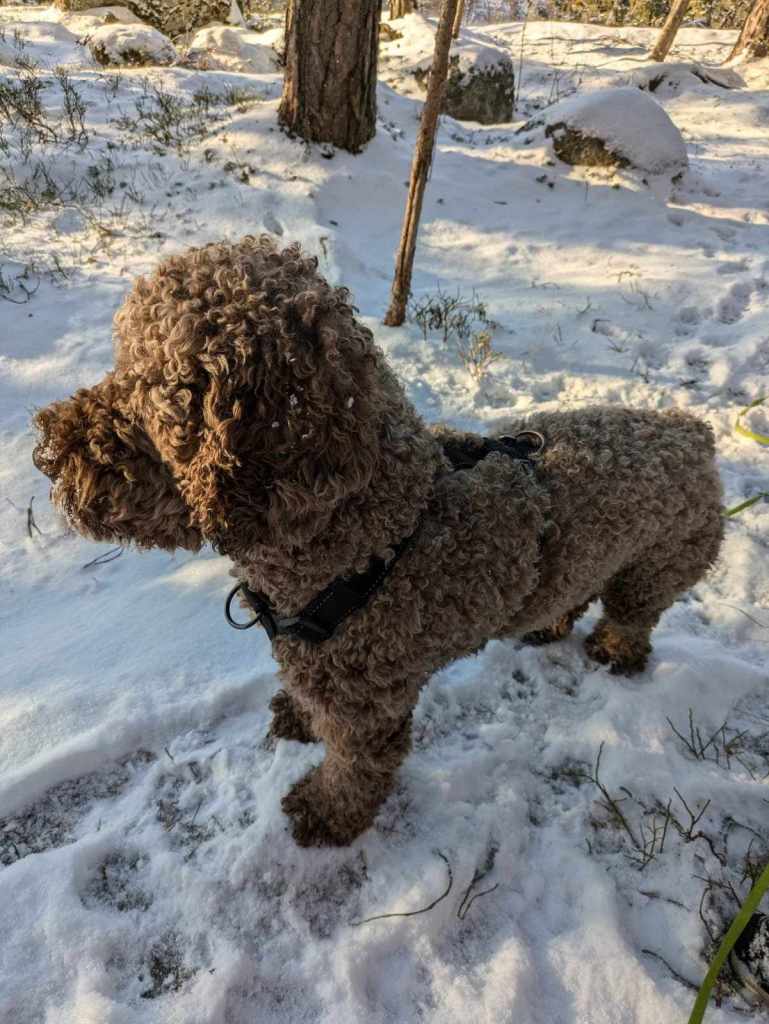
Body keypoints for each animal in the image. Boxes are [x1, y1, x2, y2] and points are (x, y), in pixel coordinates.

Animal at [33, 236, 723, 846]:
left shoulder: (367, 706)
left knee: (633, 616)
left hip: (656, 567)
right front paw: (299, 720)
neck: (375, 536)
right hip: (589, 558)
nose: (45, 449)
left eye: (144, 384)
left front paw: (327, 813)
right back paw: (550, 625)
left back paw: (615, 651)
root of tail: (694, 433)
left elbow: (358, 769)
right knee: (571, 592)